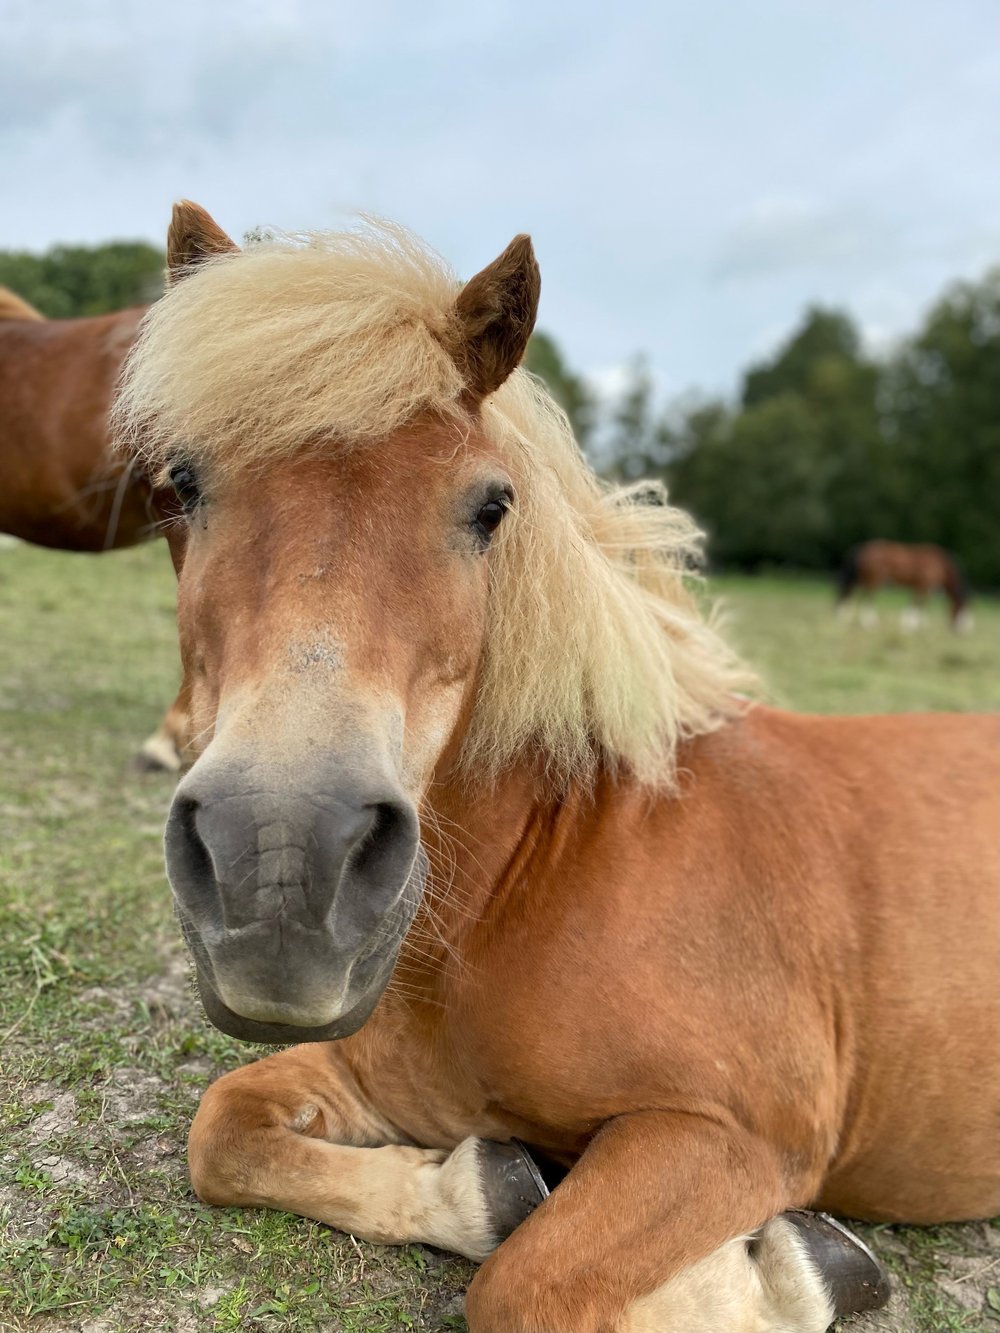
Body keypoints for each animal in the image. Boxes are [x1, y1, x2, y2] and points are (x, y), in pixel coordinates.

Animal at [837, 535, 970, 629]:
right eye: (960, 609)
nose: (960, 631)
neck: (940, 565)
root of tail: (863, 548)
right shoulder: (924, 585)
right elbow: (919, 603)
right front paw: (911, 625)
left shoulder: (921, 586)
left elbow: (919, 603)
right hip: (874, 580)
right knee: (866, 598)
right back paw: (869, 623)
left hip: (863, 580)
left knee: (851, 595)